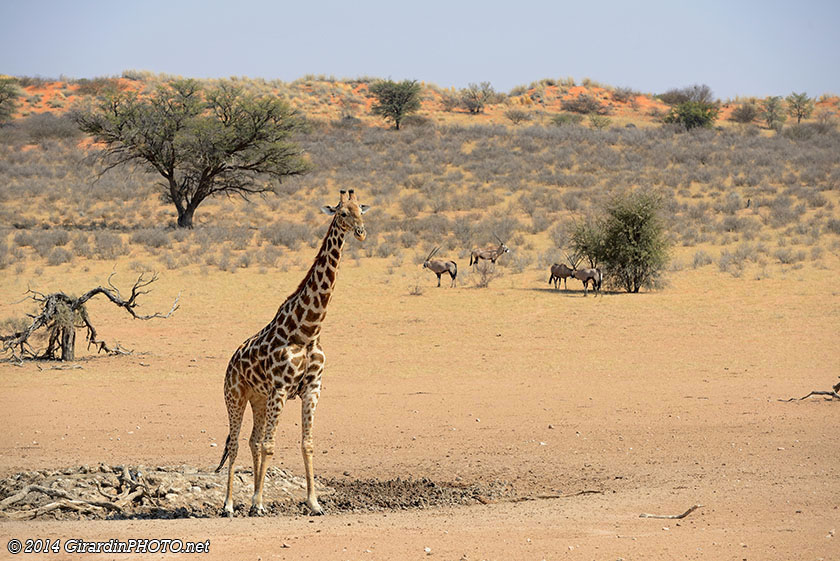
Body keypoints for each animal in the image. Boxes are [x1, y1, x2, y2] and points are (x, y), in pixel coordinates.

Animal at [215, 189, 370, 516]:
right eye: (342, 213)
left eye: (361, 211)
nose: (361, 233)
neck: (308, 330)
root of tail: (231, 361)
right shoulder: (282, 388)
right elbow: (271, 445)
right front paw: (258, 503)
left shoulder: (312, 388)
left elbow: (306, 443)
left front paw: (313, 502)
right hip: (234, 396)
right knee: (236, 443)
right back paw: (230, 505)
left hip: (259, 399)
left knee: (252, 440)